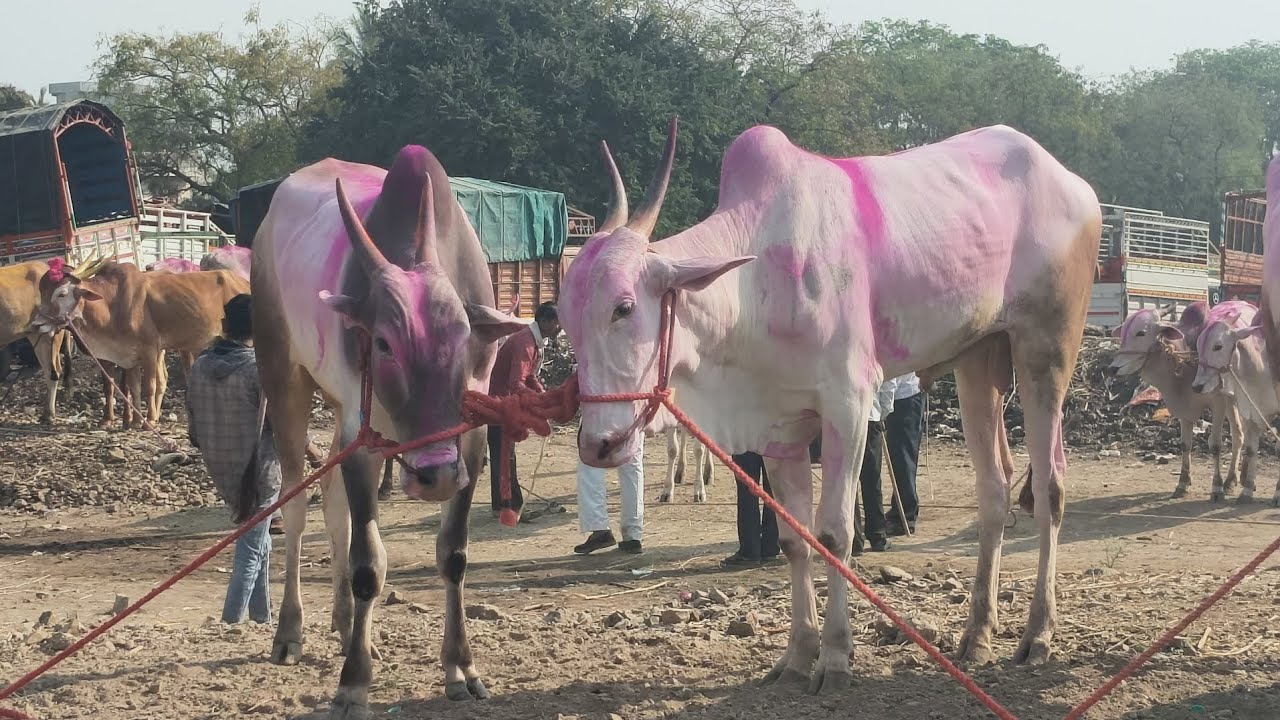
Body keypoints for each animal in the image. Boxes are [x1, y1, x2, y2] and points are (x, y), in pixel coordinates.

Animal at [32, 259, 250, 428]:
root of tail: (243, 281)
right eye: (41, 290)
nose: (36, 324)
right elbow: (130, 386)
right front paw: (134, 421)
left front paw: (150, 420)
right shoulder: (126, 356)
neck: (111, 305)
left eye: (61, 293)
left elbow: (149, 385)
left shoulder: (149, 350)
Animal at [250, 146, 526, 717]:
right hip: (284, 378)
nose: (433, 476)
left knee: (334, 505)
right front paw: (354, 683)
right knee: (296, 507)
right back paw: (291, 632)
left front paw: (460, 668)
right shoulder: (366, 439)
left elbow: (453, 554)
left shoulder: (468, 440)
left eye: (464, 336)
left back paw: (345, 625)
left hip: (339, 412)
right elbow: (368, 564)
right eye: (382, 343)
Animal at [560, 119, 1100, 689]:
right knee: (994, 490)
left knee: (1051, 488)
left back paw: (1038, 635)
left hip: (1046, 350)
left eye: (623, 308)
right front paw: (798, 655)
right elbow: (795, 540)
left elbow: (835, 533)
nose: (599, 445)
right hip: (977, 357)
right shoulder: (778, 427)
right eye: (564, 314)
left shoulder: (848, 403)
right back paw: (977, 634)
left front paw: (837, 657)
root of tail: (1070, 182)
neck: (756, 281)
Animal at [1107, 302, 1244, 500]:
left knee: (1238, 435)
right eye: (1123, 330)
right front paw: (1182, 484)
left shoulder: (1218, 403)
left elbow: (1216, 445)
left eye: (1141, 332)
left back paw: (1229, 481)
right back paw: (1232, 480)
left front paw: (1216, 487)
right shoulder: (1183, 411)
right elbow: (1185, 445)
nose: (1113, 368)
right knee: (1239, 434)